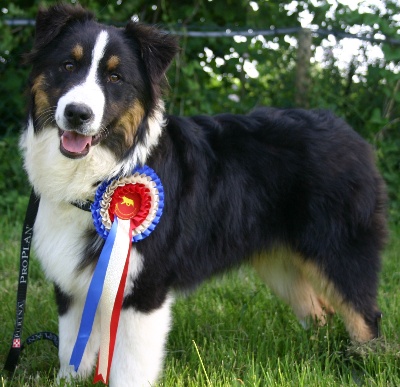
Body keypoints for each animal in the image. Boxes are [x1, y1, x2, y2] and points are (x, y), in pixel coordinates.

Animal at [21, 3, 388, 387]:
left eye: (115, 77)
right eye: (68, 65)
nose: (77, 113)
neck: (104, 176)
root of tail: (350, 134)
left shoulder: (144, 287)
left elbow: (130, 366)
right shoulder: (73, 283)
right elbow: (71, 350)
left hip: (340, 250)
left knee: (365, 317)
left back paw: (367, 366)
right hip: (281, 261)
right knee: (319, 312)